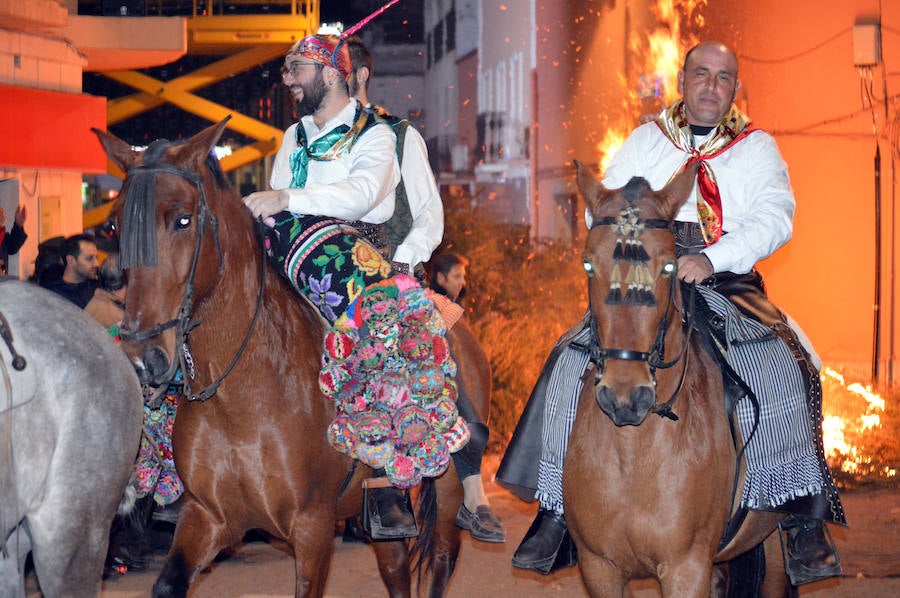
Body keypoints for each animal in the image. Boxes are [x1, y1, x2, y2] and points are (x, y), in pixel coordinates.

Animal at [93, 119, 486, 596]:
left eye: (183, 219)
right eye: (115, 226)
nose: (142, 358)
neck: (242, 397)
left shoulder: (313, 527)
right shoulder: (208, 516)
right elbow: (168, 584)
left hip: (446, 496)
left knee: (442, 560)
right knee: (396, 569)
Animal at [568, 162, 792, 596]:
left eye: (670, 265)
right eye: (587, 264)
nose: (625, 398)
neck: (634, 453)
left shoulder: (685, 567)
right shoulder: (599, 568)